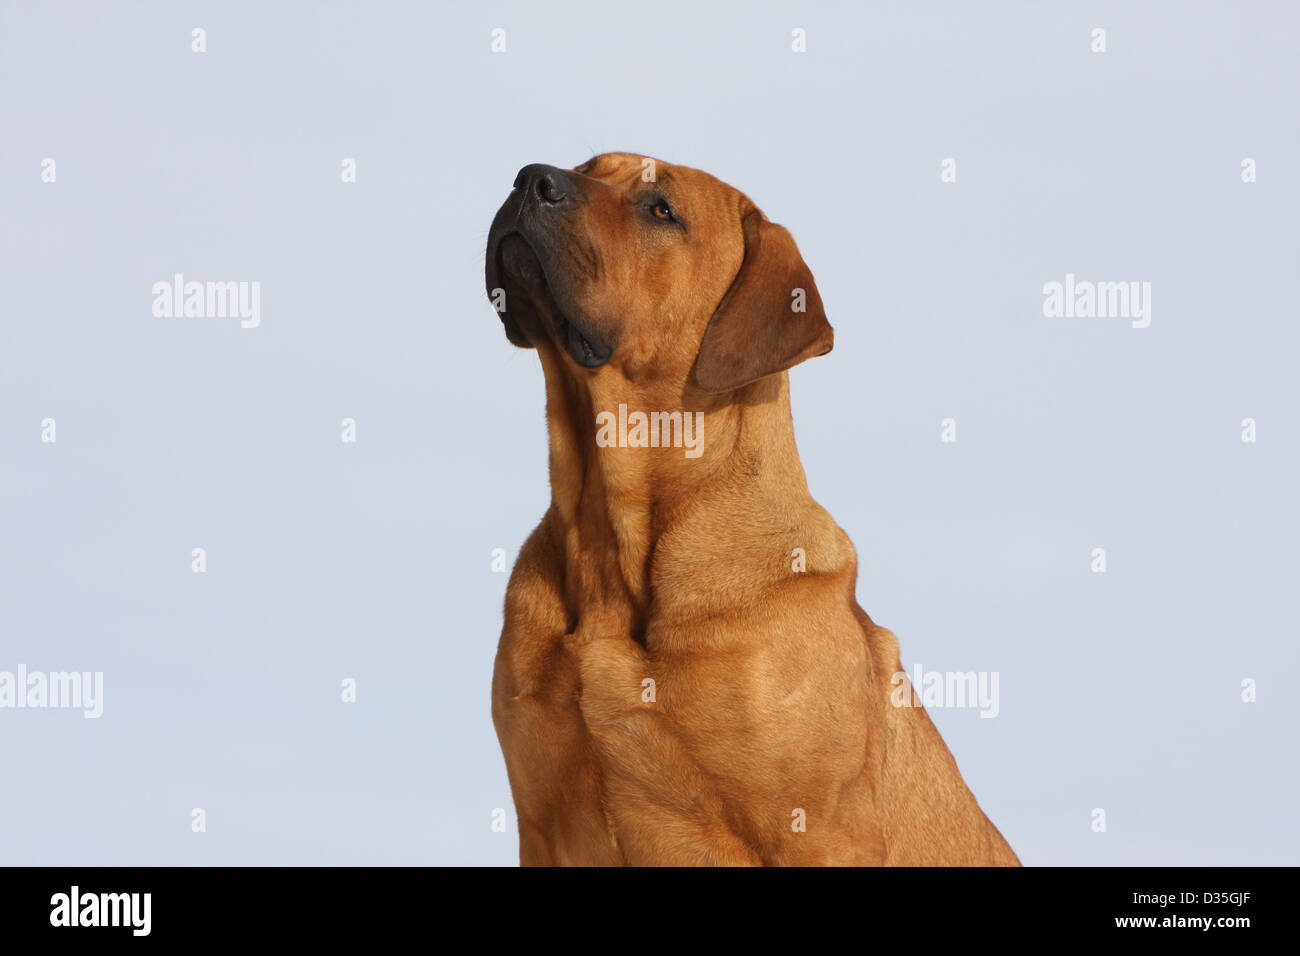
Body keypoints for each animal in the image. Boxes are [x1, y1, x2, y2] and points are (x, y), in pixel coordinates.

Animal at [483, 155, 1019, 868]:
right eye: (581, 167)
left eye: (661, 209)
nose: (530, 179)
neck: (610, 541)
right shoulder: (541, 824)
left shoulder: (815, 833)